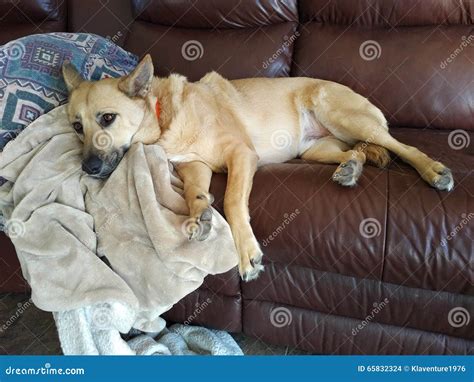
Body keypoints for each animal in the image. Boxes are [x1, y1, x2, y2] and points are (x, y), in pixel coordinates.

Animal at [61, 53, 454, 280]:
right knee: (357, 152)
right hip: (315, 149)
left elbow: (233, 201)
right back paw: (352, 167)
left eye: (107, 118)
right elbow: (193, 192)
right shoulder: (195, 165)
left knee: (401, 146)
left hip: (344, 115)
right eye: (77, 126)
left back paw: (433, 171)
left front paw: (247, 253)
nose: (88, 168)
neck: (163, 116)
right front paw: (199, 214)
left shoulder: (241, 155)